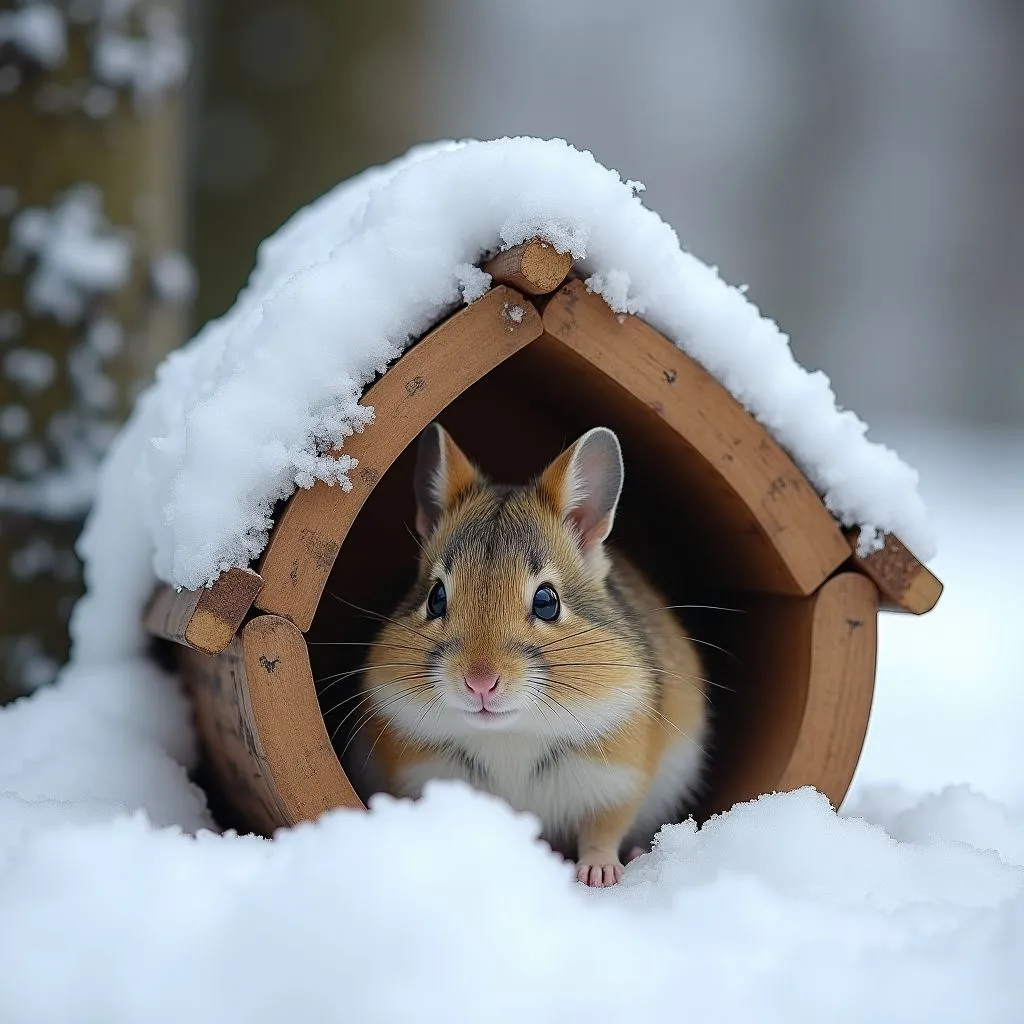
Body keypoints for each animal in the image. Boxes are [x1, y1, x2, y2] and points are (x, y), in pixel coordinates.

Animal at [343, 423, 709, 887]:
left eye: (547, 602)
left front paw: (599, 875)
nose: (480, 683)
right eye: (436, 597)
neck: (508, 735)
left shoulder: (618, 783)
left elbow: (602, 832)